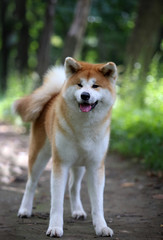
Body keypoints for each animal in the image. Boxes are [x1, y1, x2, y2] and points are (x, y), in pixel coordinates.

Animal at [13, 57, 117, 237]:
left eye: (95, 86)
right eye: (79, 84)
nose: (85, 95)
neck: (84, 127)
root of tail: (52, 96)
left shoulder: (95, 166)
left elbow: (98, 203)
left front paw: (101, 227)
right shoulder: (60, 164)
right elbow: (56, 203)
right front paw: (55, 227)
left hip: (79, 165)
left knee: (73, 187)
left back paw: (77, 211)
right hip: (39, 156)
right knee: (31, 183)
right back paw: (25, 209)